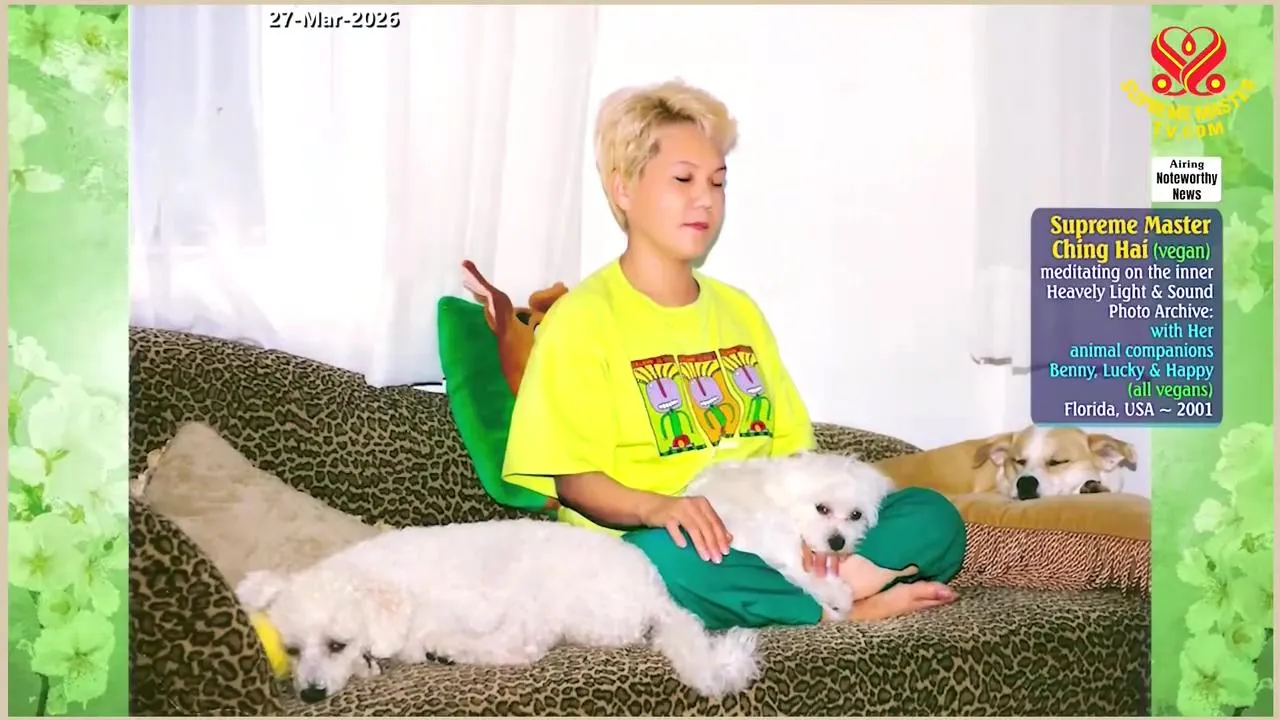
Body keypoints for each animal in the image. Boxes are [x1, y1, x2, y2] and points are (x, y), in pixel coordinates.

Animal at [235, 518, 759, 703]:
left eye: (335, 644)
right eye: (292, 650)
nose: (310, 695)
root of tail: (656, 596)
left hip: (542, 592)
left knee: (521, 647)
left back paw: (449, 649)